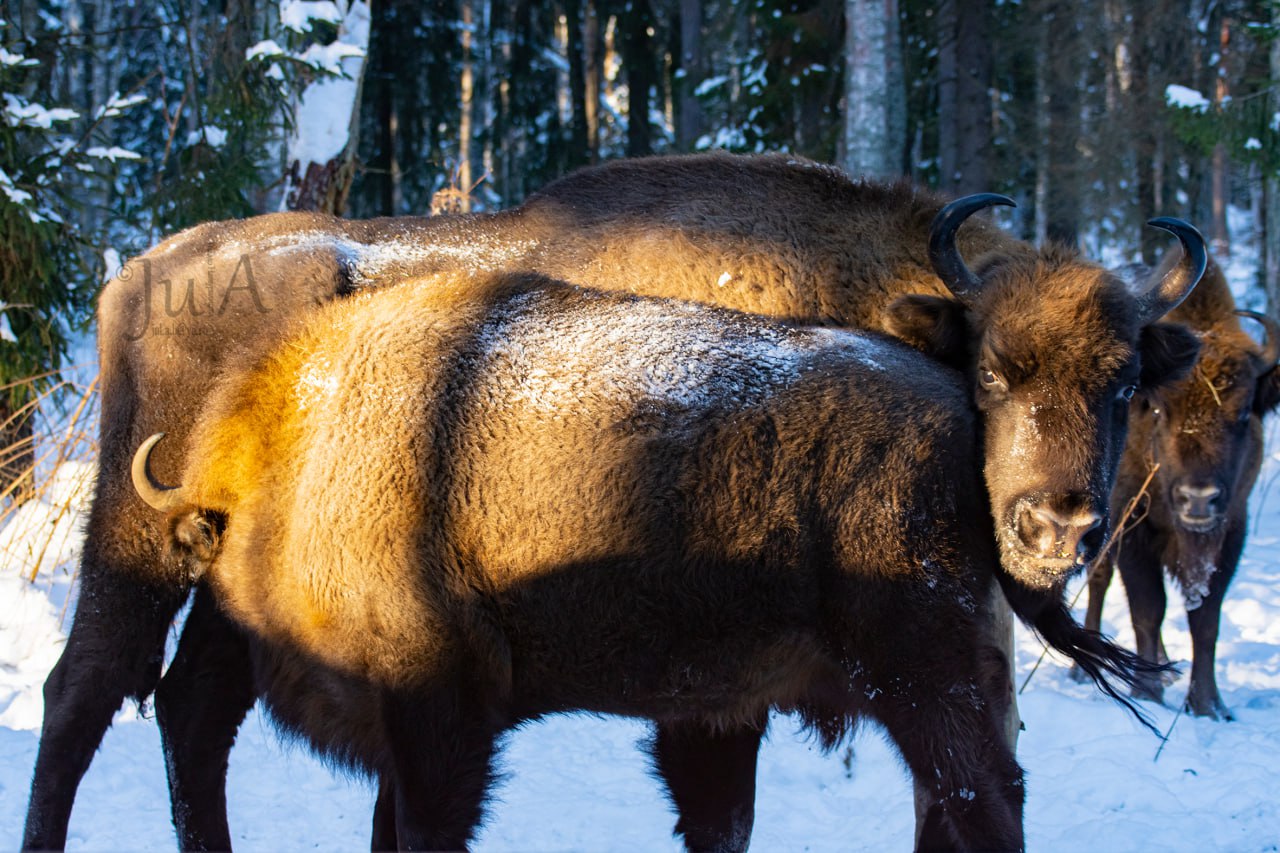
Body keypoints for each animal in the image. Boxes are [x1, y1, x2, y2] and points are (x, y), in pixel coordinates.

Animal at [1080, 257, 1280, 717]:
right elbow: (1148, 608)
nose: (1198, 499)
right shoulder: (1132, 528)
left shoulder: (1230, 530)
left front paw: (1209, 705)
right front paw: (1146, 692)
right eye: (1157, 409)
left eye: (1244, 413)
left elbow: (1205, 618)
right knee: (1098, 581)